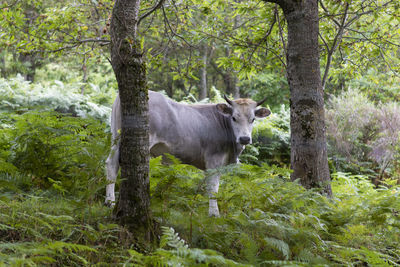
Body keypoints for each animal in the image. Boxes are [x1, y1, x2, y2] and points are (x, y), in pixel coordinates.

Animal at [104, 91, 270, 217]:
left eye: (253, 119)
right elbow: (213, 188)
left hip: (115, 138)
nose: (245, 138)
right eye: (234, 117)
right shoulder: (213, 160)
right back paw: (110, 201)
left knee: (110, 164)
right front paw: (214, 213)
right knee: (114, 164)